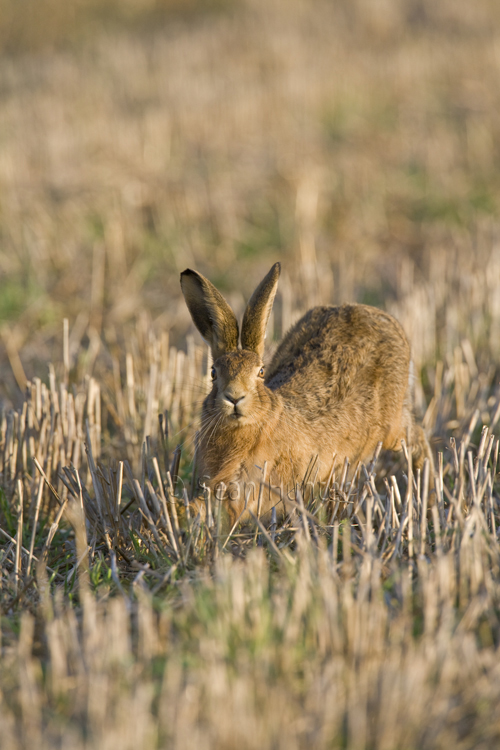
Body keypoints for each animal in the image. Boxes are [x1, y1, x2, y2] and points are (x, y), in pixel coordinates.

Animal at [180, 262, 434, 525]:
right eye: (213, 373)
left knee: (418, 440)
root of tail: (382, 317)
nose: (234, 397)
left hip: (392, 427)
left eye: (260, 372)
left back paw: (429, 498)